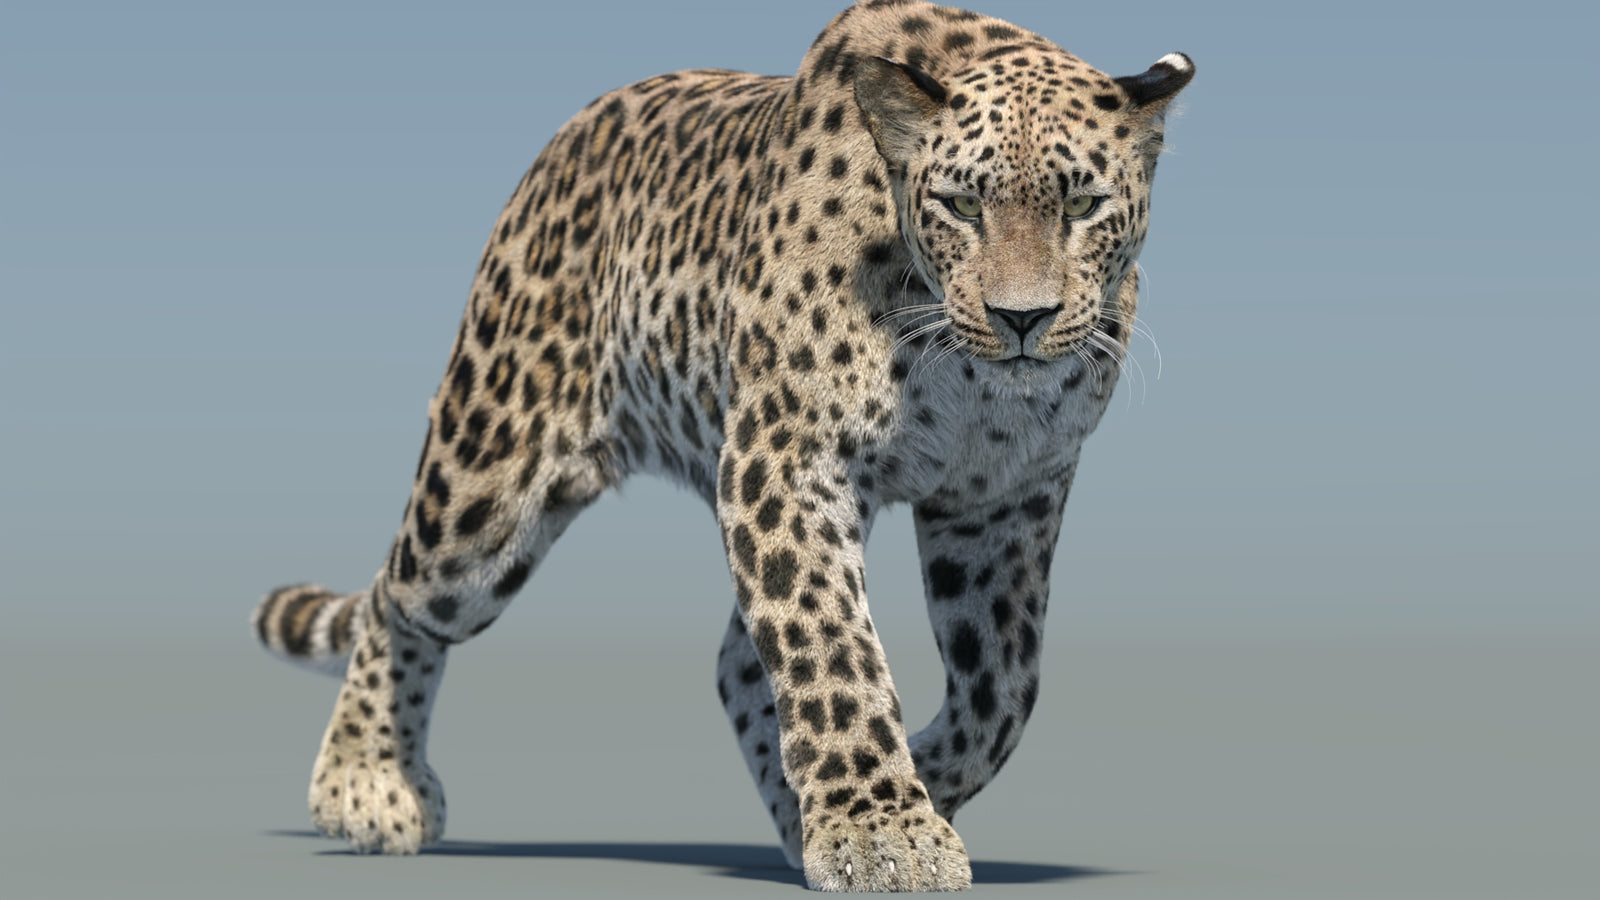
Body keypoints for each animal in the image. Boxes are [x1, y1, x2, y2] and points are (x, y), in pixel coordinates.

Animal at [251, 0, 1192, 891]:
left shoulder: (999, 499)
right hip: (487, 486)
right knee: (397, 594)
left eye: (1083, 206)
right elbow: (830, 646)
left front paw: (909, 787)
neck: (965, 372)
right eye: (964, 205)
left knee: (737, 659)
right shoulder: (786, 458)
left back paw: (790, 812)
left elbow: (1004, 682)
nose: (1021, 319)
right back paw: (366, 785)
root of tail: (566, 138)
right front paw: (884, 830)